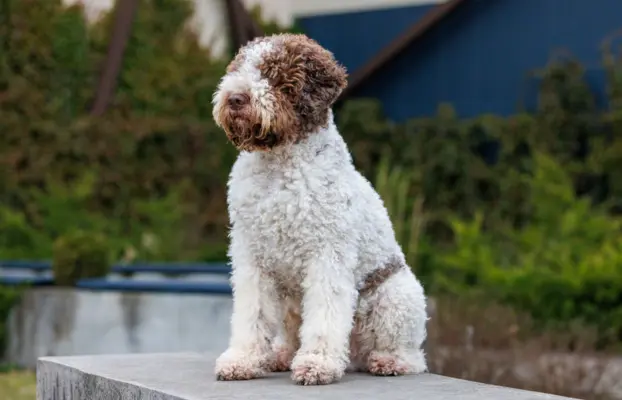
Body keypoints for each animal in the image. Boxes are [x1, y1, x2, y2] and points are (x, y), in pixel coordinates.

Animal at [212, 32, 432, 384]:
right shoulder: (252, 256)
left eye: (274, 75)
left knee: (413, 356)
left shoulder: (328, 254)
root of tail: (355, 356)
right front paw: (243, 360)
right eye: (237, 69)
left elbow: (325, 314)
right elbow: (252, 312)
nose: (234, 98)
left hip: (396, 296)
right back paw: (281, 356)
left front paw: (317, 364)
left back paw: (389, 362)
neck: (278, 168)